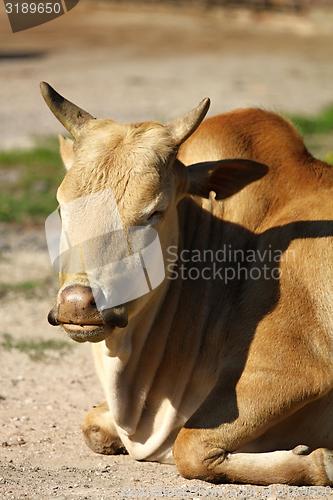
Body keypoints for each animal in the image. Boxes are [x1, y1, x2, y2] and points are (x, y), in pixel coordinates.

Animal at [41, 83, 332, 484]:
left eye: (154, 212)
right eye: (61, 207)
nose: (77, 303)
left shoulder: (292, 369)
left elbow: (190, 449)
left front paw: (321, 460)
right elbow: (94, 424)